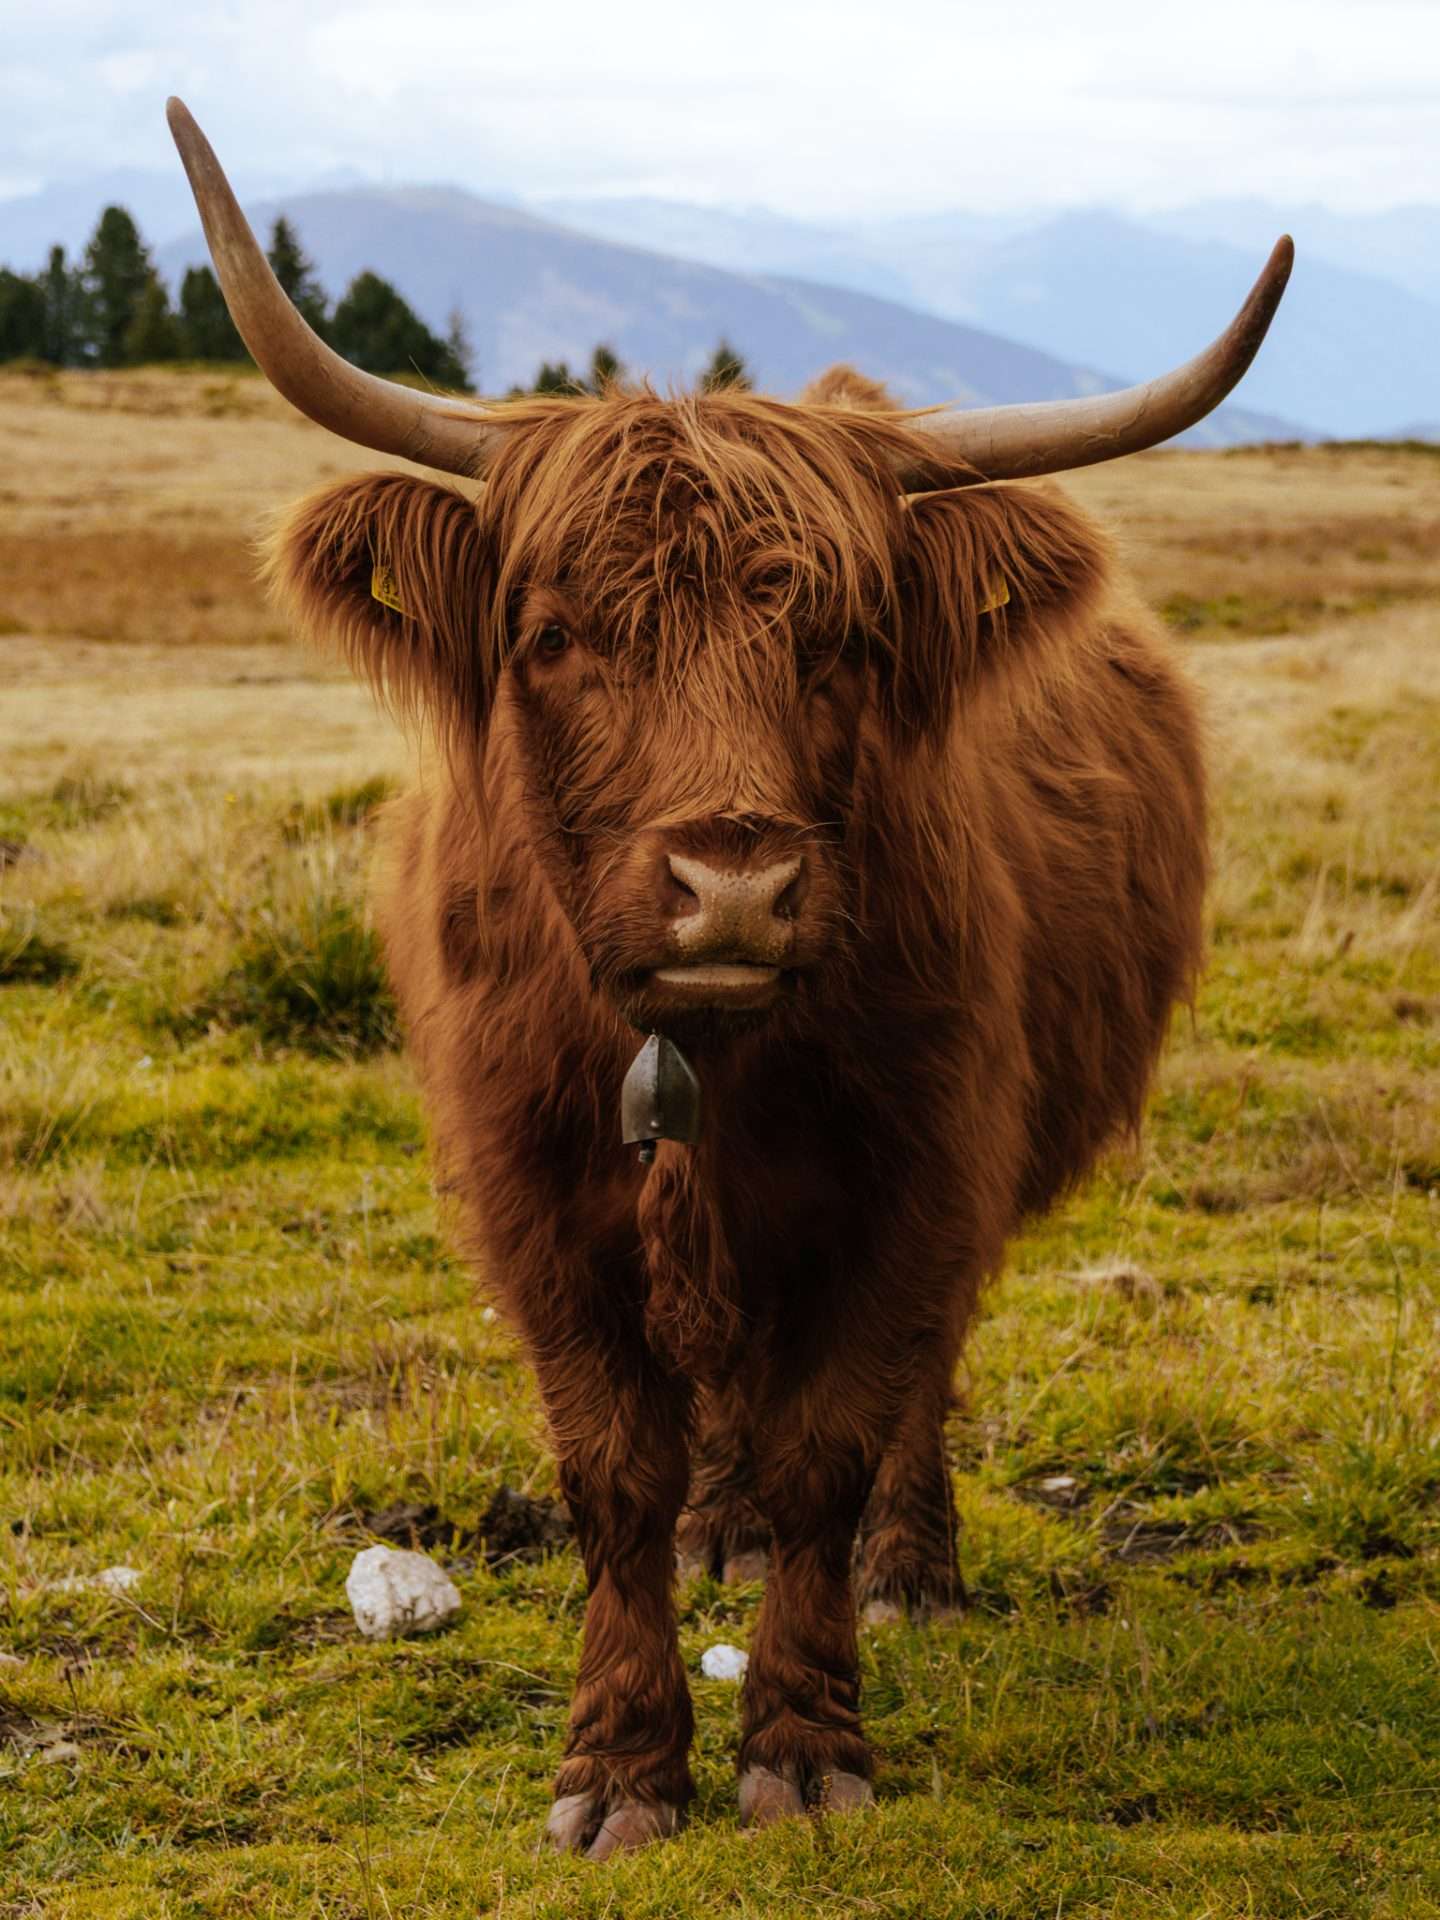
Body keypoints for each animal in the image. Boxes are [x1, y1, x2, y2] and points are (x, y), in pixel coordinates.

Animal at [168, 99, 1292, 1859]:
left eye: (843, 641)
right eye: (554, 635)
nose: (735, 883)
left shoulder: (918, 1173)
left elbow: (836, 1436)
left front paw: (807, 1745)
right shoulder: (534, 1199)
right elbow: (612, 1471)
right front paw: (617, 1768)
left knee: (907, 1388)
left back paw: (907, 1571)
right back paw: (720, 1535)